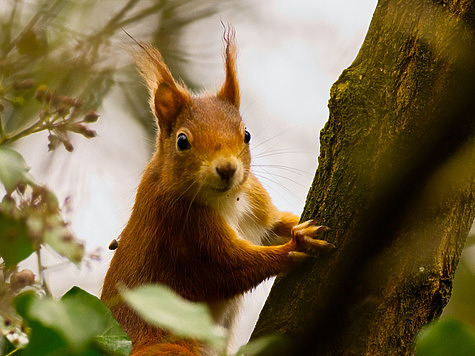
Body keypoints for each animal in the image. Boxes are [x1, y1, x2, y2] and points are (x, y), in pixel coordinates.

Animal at [101, 29, 334, 354]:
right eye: (182, 141)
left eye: (246, 134)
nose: (227, 169)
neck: (227, 199)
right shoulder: (187, 233)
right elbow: (234, 268)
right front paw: (297, 246)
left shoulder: (256, 206)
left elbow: (277, 225)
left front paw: (299, 229)